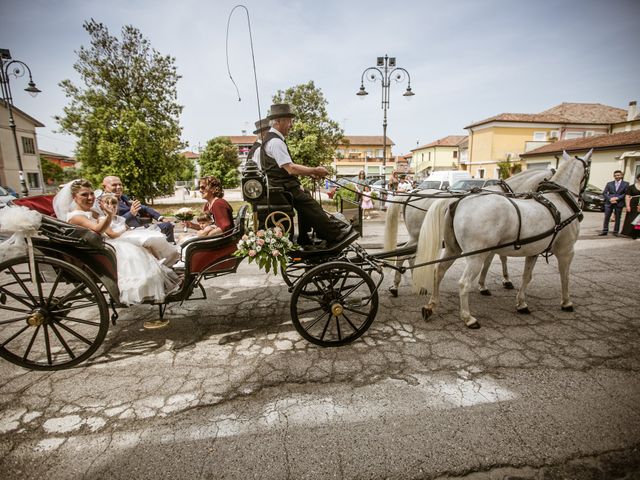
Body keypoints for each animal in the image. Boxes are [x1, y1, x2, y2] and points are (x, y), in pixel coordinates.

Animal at [384, 169, 556, 296]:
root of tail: (410, 195)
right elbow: (494, 260)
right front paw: (490, 284)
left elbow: (500, 258)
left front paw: (499, 281)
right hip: (417, 235)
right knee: (402, 254)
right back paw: (397, 285)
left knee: (409, 255)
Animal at [416, 152, 592, 328]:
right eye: (588, 168)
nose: (586, 199)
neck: (558, 201)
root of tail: (458, 201)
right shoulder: (566, 251)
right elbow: (565, 276)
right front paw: (566, 302)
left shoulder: (532, 252)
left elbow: (526, 276)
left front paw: (521, 303)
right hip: (475, 256)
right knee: (464, 283)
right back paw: (468, 317)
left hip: (453, 249)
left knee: (439, 271)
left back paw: (431, 305)